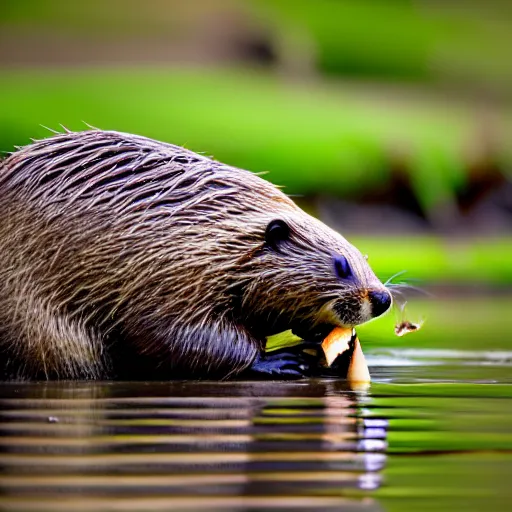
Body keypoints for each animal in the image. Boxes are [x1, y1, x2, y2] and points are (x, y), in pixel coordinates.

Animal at [0, 129, 392, 380]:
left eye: (365, 258)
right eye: (341, 265)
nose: (383, 298)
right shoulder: (170, 272)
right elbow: (166, 333)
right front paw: (281, 361)